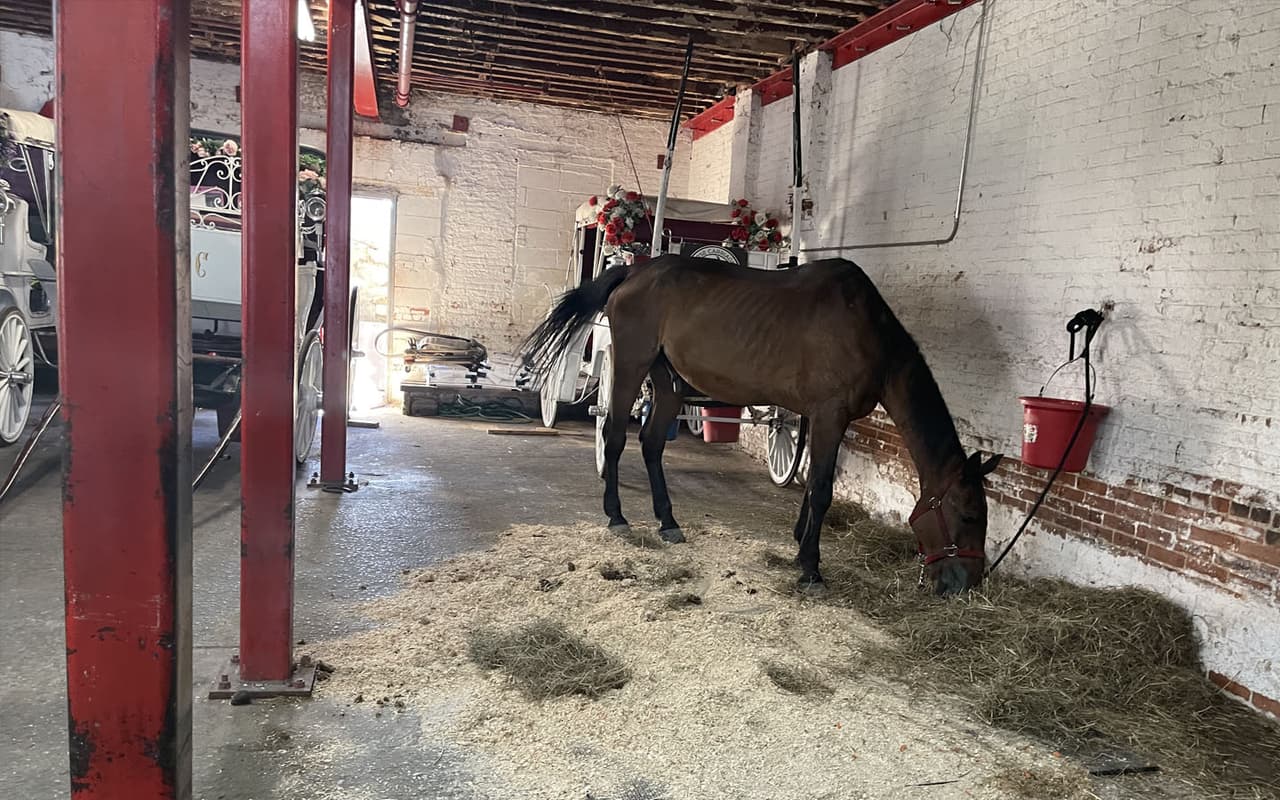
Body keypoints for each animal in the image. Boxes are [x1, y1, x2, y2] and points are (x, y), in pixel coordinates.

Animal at [521, 254, 1002, 596]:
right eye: (969, 513)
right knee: (615, 436)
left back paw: (668, 522)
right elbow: (821, 489)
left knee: (652, 443)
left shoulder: (817, 418)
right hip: (630, 367)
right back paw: (617, 516)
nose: (967, 583)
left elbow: (813, 484)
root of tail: (632, 272)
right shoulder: (829, 415)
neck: (867, 331)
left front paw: (800, 544)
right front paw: (811, 569)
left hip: (668, 382)